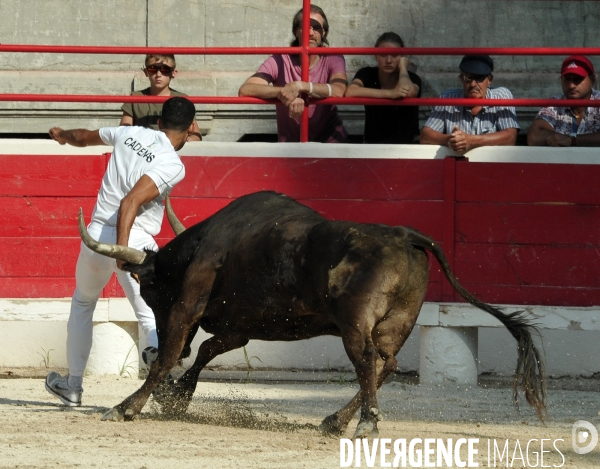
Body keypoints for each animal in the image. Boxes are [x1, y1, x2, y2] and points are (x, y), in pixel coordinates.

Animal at [82, 189, 548, 436]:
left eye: (150, 288)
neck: (205, 242)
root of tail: (407, 234)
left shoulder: (187, 308)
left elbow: (167, 358)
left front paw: (127, 406)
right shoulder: (239, 326)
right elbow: (207, 351)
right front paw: (179, 395)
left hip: (355, 323)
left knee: (366, 360)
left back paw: (366, 423)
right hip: (397, 323)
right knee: (387, 364)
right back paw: (336, 420)